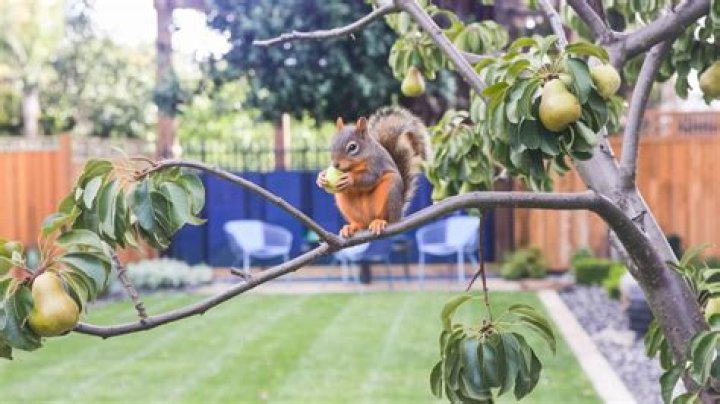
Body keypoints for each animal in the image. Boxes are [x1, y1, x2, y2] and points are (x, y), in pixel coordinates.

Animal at [316, 106, 430, 238]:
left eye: (352, 147)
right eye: (332, 144)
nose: (335, 164)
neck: (354, 166)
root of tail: (399, 214)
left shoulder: (376, 163)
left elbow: (369, 178)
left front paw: (350, 178)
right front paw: (321, 177)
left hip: (391, 190)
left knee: (387, 218)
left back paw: (380, 222)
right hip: (344, 202)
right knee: (360, 223)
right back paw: (352, 226)